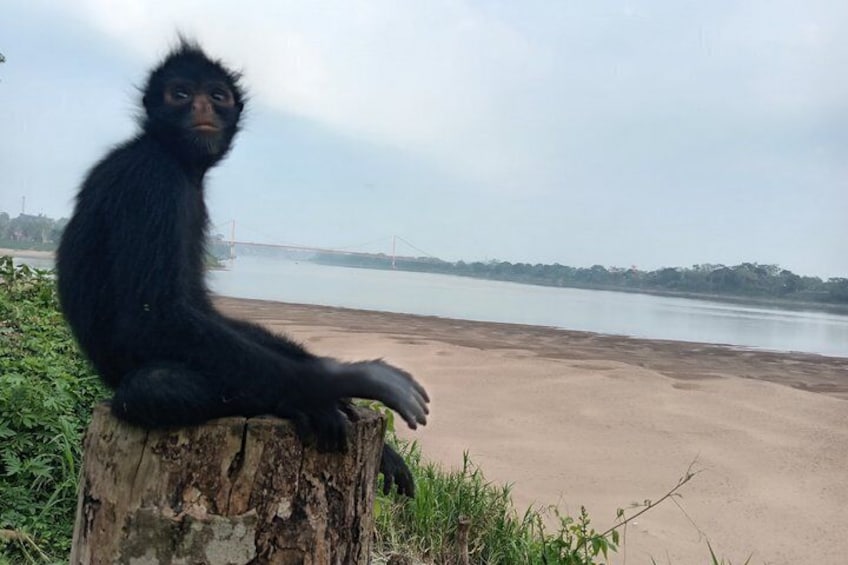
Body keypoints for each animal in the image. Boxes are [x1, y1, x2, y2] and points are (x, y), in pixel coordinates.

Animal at [57, 38, 428, 496]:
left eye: (217, 96)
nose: (202, 107)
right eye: (181, 94)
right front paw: (343, 383)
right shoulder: (152, 181)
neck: (172, 156)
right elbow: (154, 316)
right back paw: (296, 402)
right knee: (156, 386)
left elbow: (199, 309)